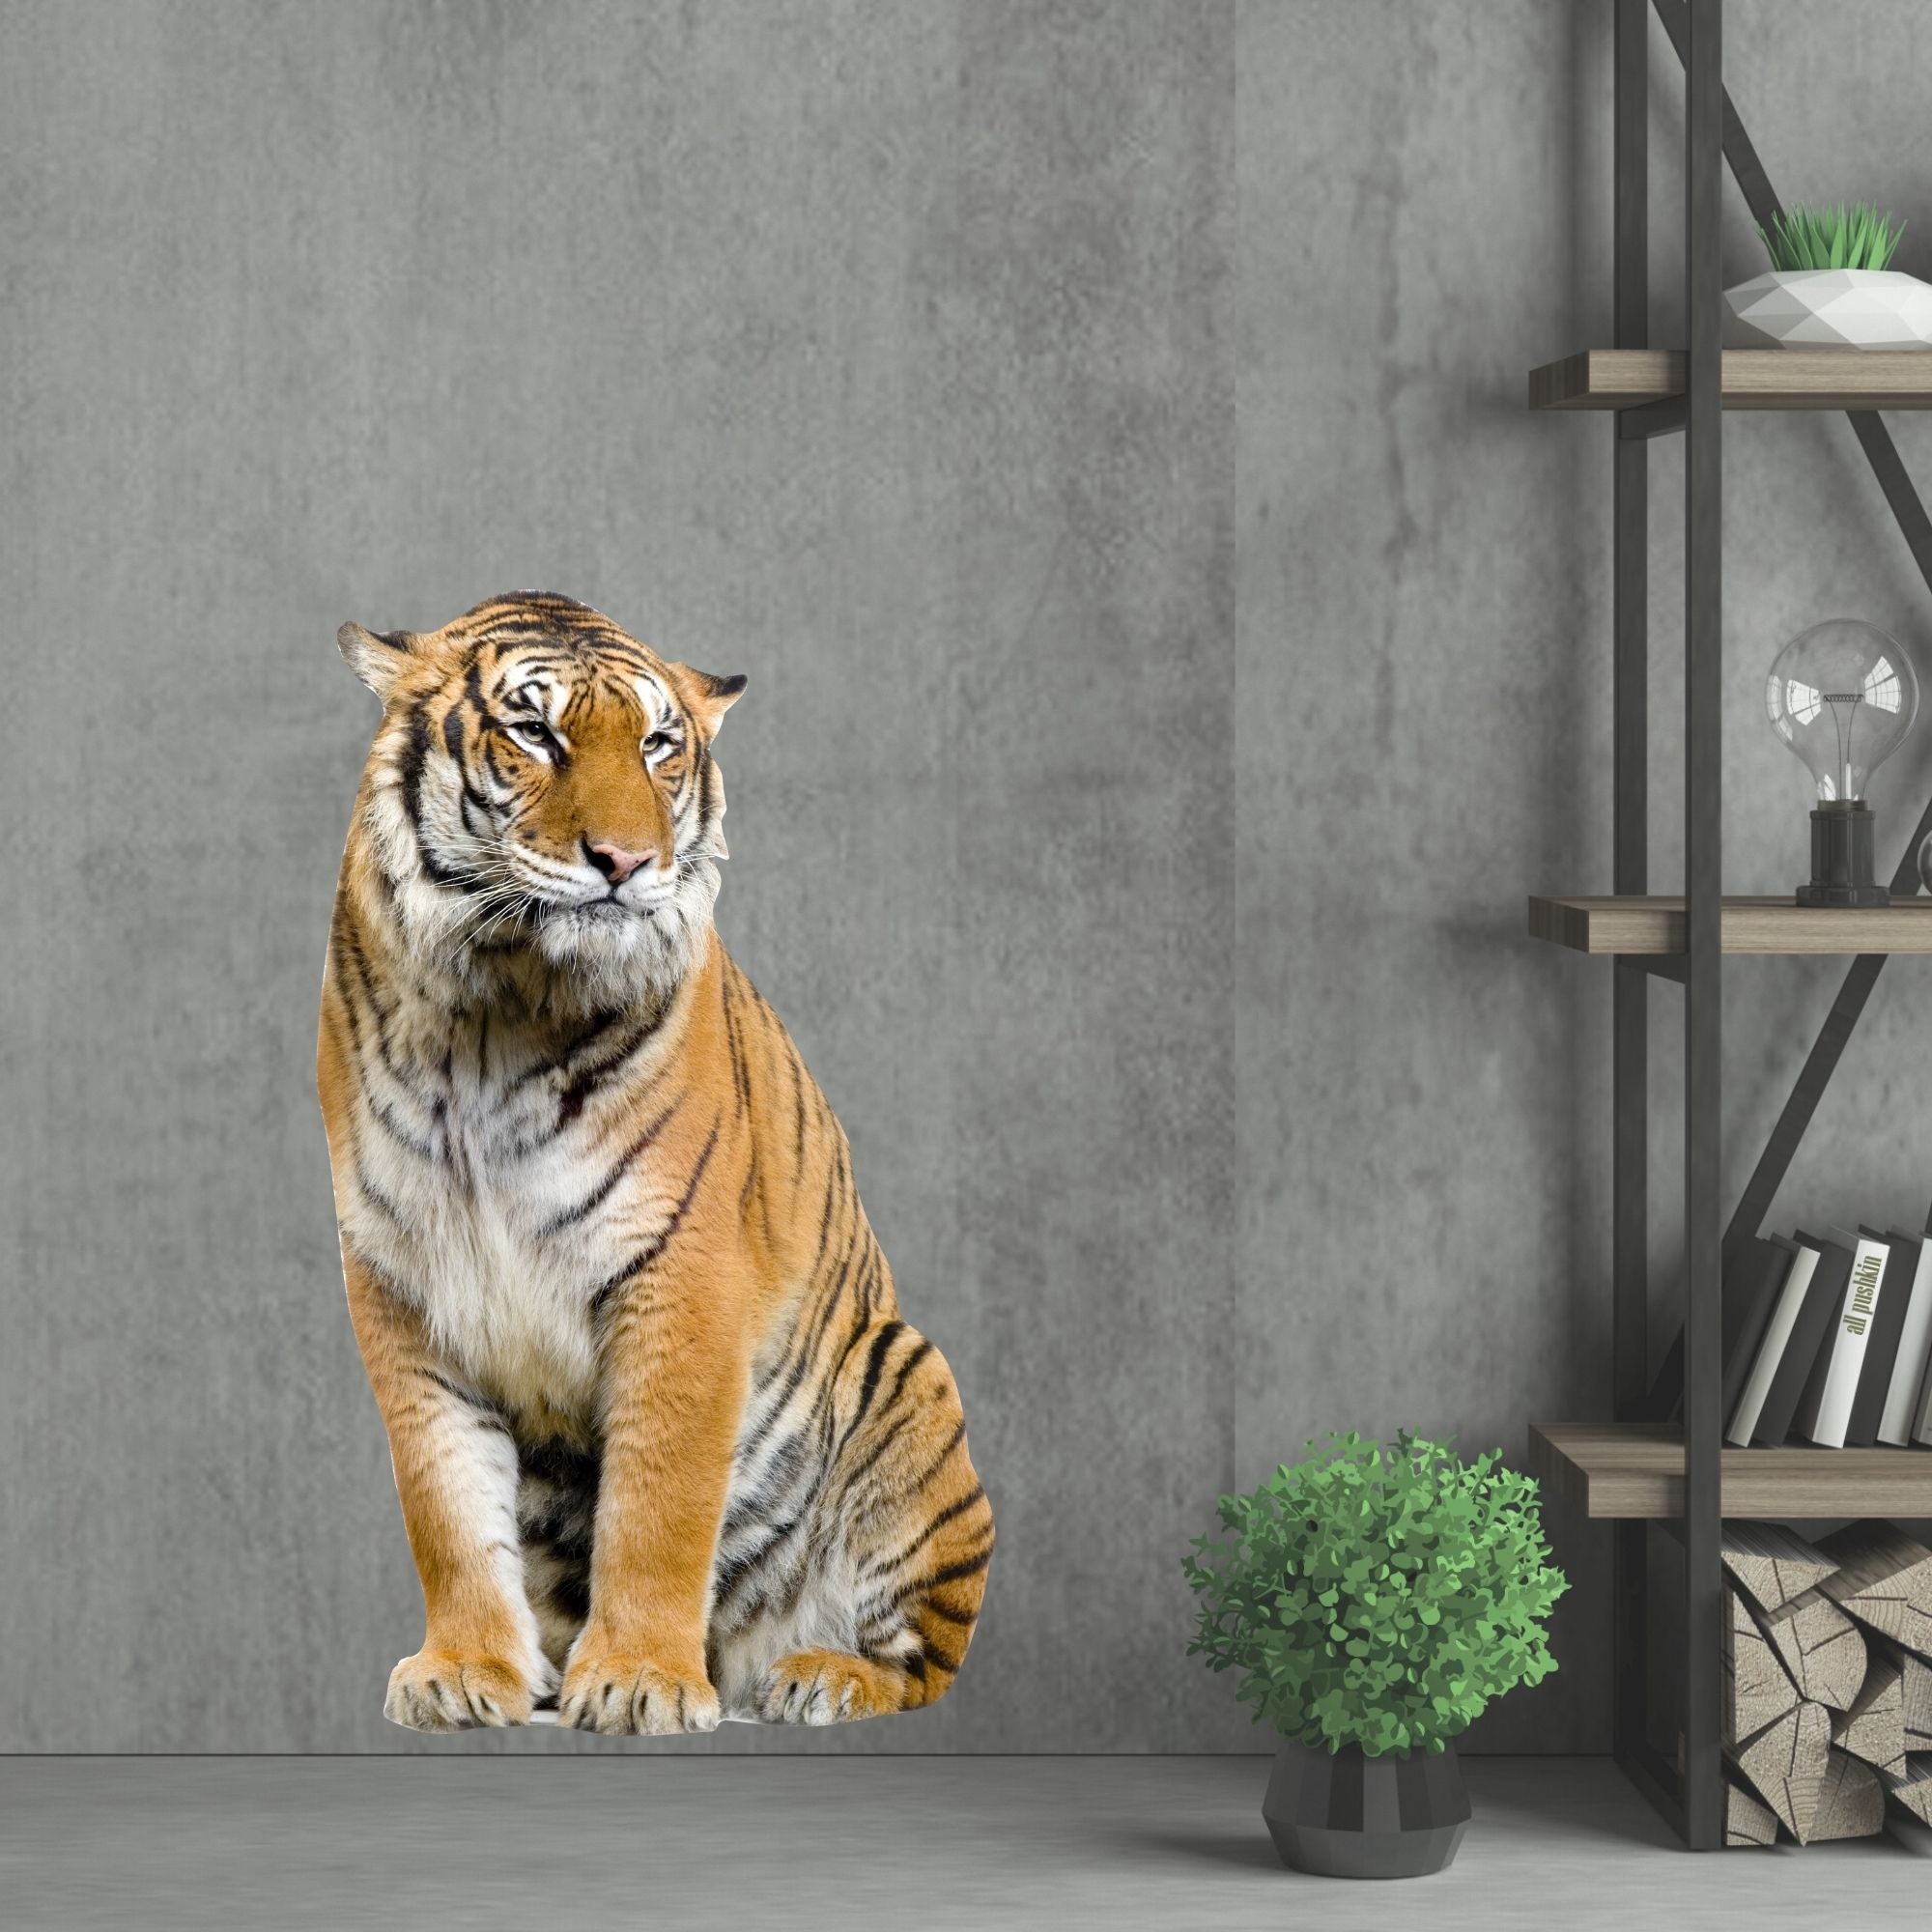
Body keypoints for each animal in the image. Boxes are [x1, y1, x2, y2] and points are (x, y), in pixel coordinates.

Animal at [316, 591, 992, 1733]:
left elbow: (659, 1499)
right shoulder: (400, 1284)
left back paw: (820, 1675)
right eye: (534, 732)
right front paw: (465, 1669)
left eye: (657, 744)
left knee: (926, 1661)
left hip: (906, 1372)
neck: (493, 1013)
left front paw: (637, 1677)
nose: (625, 863)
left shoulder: (678, 1271)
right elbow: (445, 1501)